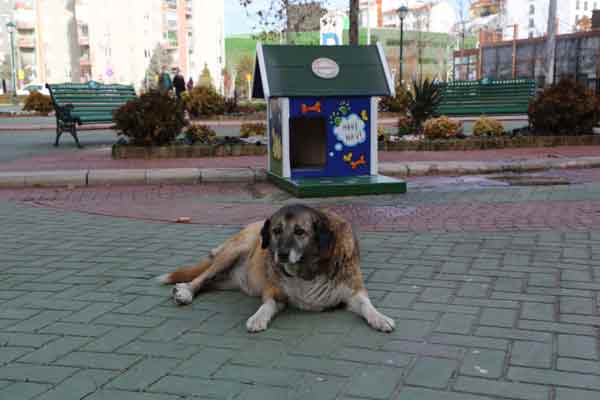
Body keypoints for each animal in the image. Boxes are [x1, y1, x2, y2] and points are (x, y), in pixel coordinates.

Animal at [157, 205, 396, 332]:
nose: (280, 255)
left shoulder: (354, 292)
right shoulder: (274, 292)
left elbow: (366, 305)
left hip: (227, 281)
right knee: (201, 278)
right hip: (232, 252)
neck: (306, 269)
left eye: (300, 231)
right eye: (276, 231)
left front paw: (380, 318)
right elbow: (267, 305)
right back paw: (185, 292)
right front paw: (258, 318)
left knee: (209, 283)